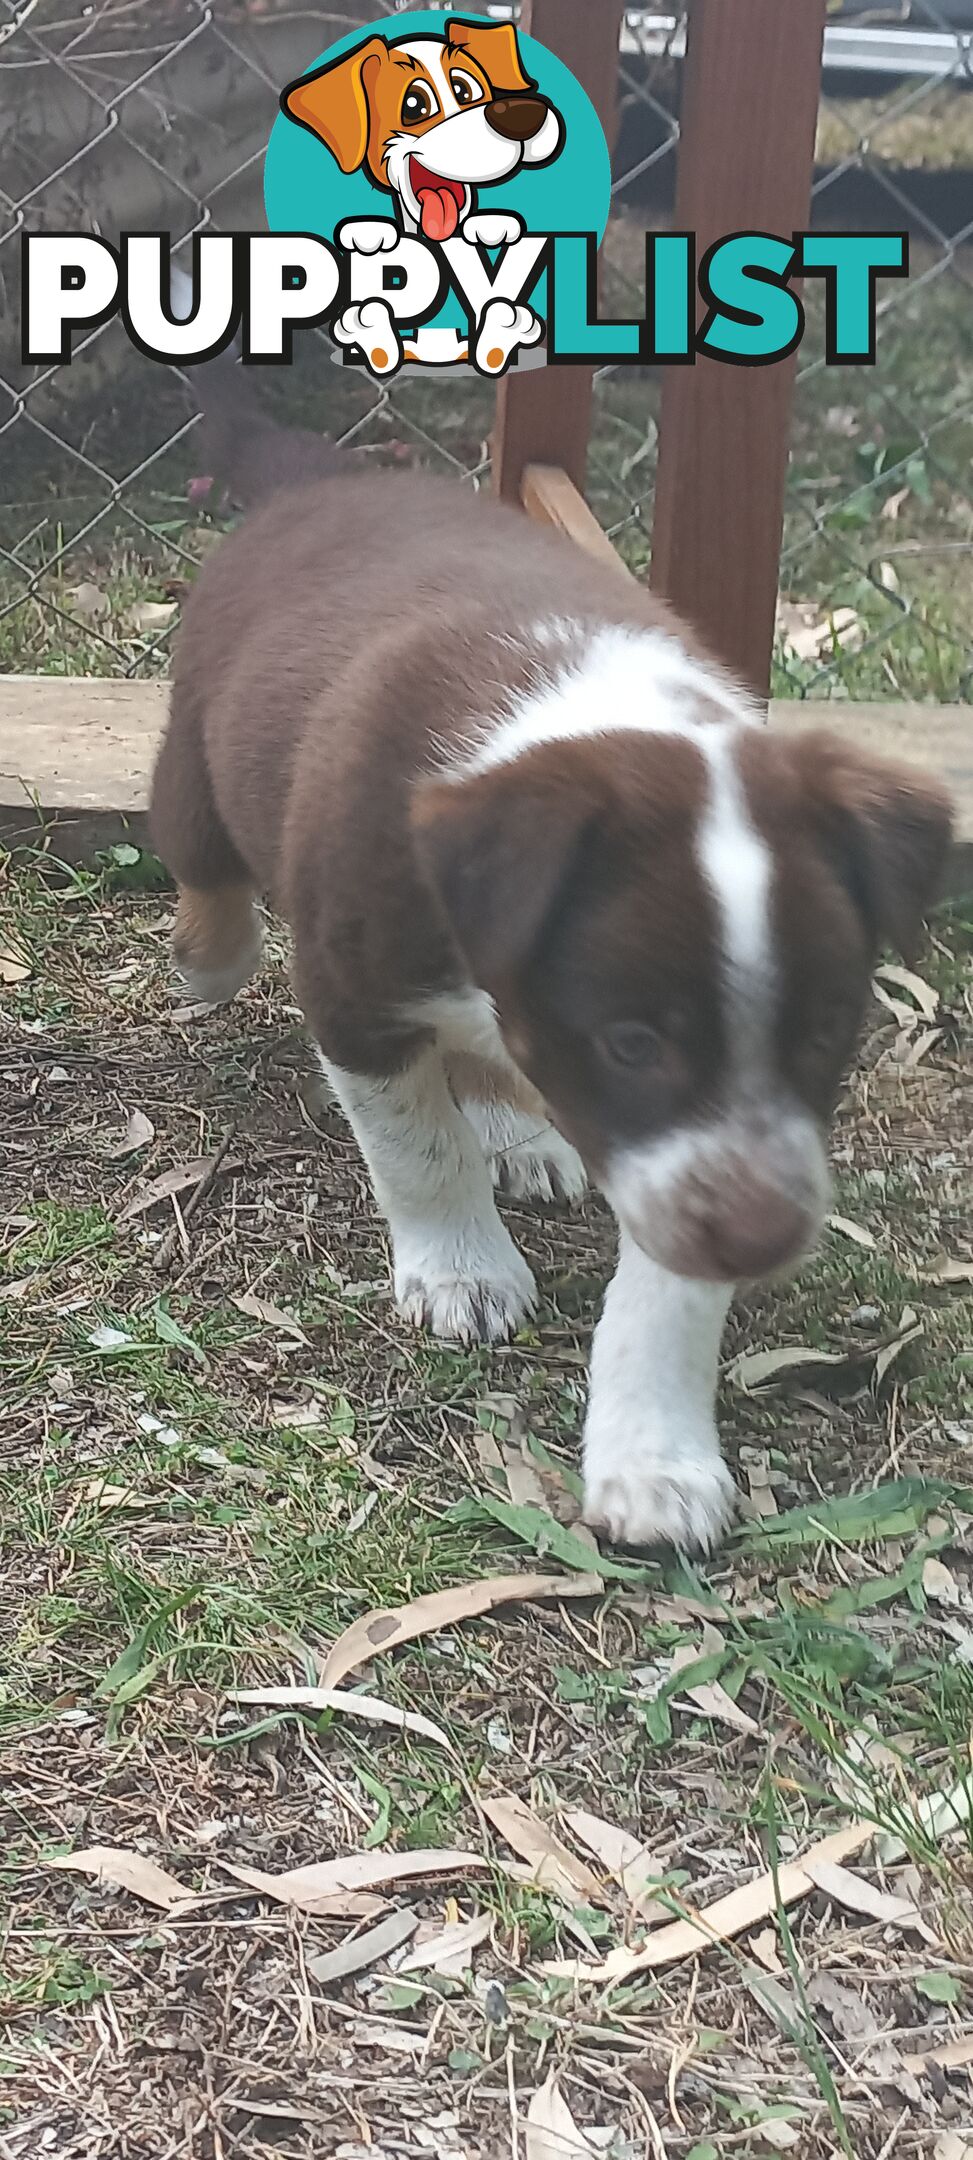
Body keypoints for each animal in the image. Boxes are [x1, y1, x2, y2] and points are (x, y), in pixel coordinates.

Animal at [152, 406, 951, 1555]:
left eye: (824, 1030)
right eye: (631, 1041)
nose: (761, 1244)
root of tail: (327, 482)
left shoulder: (690, 1158)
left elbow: (666, 1286)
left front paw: (655, 1460)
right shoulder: (356, 996)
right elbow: (419, 1150)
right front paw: (463, 1273)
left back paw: (517, 1134)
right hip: (198, 757)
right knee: (203, 858)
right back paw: (211, 957)